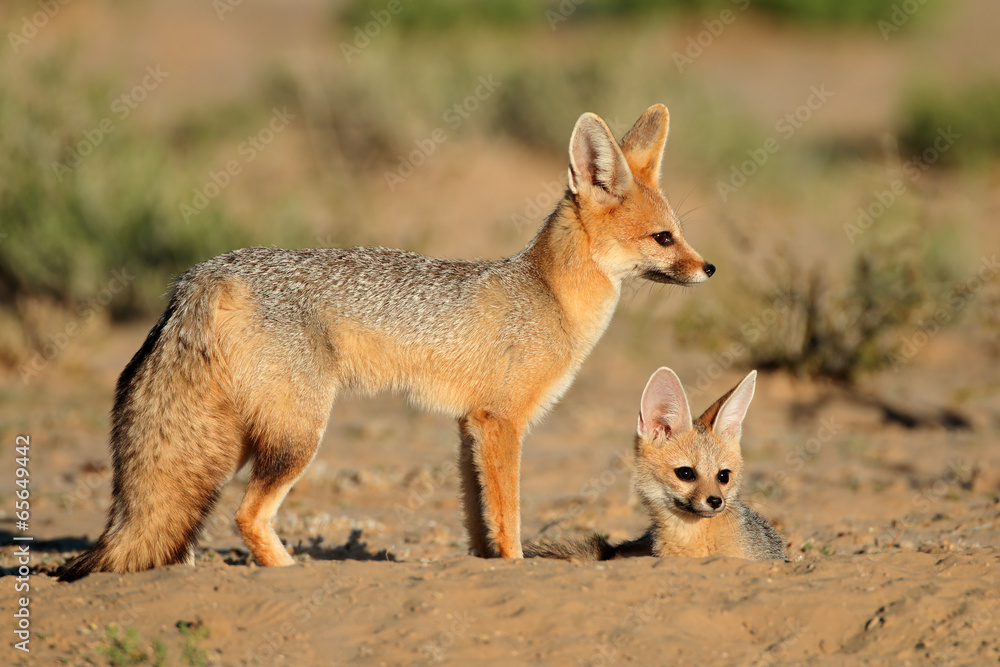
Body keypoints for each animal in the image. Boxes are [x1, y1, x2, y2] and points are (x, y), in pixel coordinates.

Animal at [58, 103, 716, 580]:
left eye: (680, 233)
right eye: (663, 239)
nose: (709, 269)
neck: (548, 295)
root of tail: (205, 271)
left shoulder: (469, 425)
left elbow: (478, 519)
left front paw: (482, 566)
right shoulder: (502, 422)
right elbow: (508, 518)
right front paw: (514, 567)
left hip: (254, 431)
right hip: (298, 436)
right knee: (245, 515)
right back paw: (291, 571)